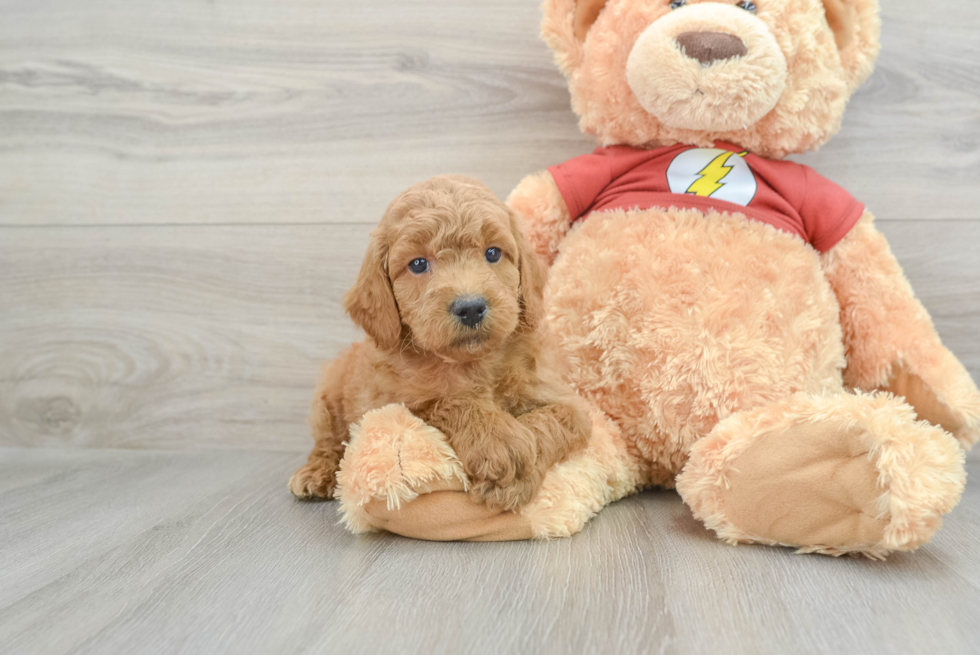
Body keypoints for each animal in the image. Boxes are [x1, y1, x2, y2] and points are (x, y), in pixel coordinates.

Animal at [290, 176, 588, 512]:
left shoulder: (566, 401)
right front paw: (499, 440)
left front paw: (517, 472)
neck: (473, 363)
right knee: (328, 441)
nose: (471, 307)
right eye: (419, 264)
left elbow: (556, 419)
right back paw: (317, 471)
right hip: (328, 395)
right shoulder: (394, 404)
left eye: (493, 253)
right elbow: (448, 401)